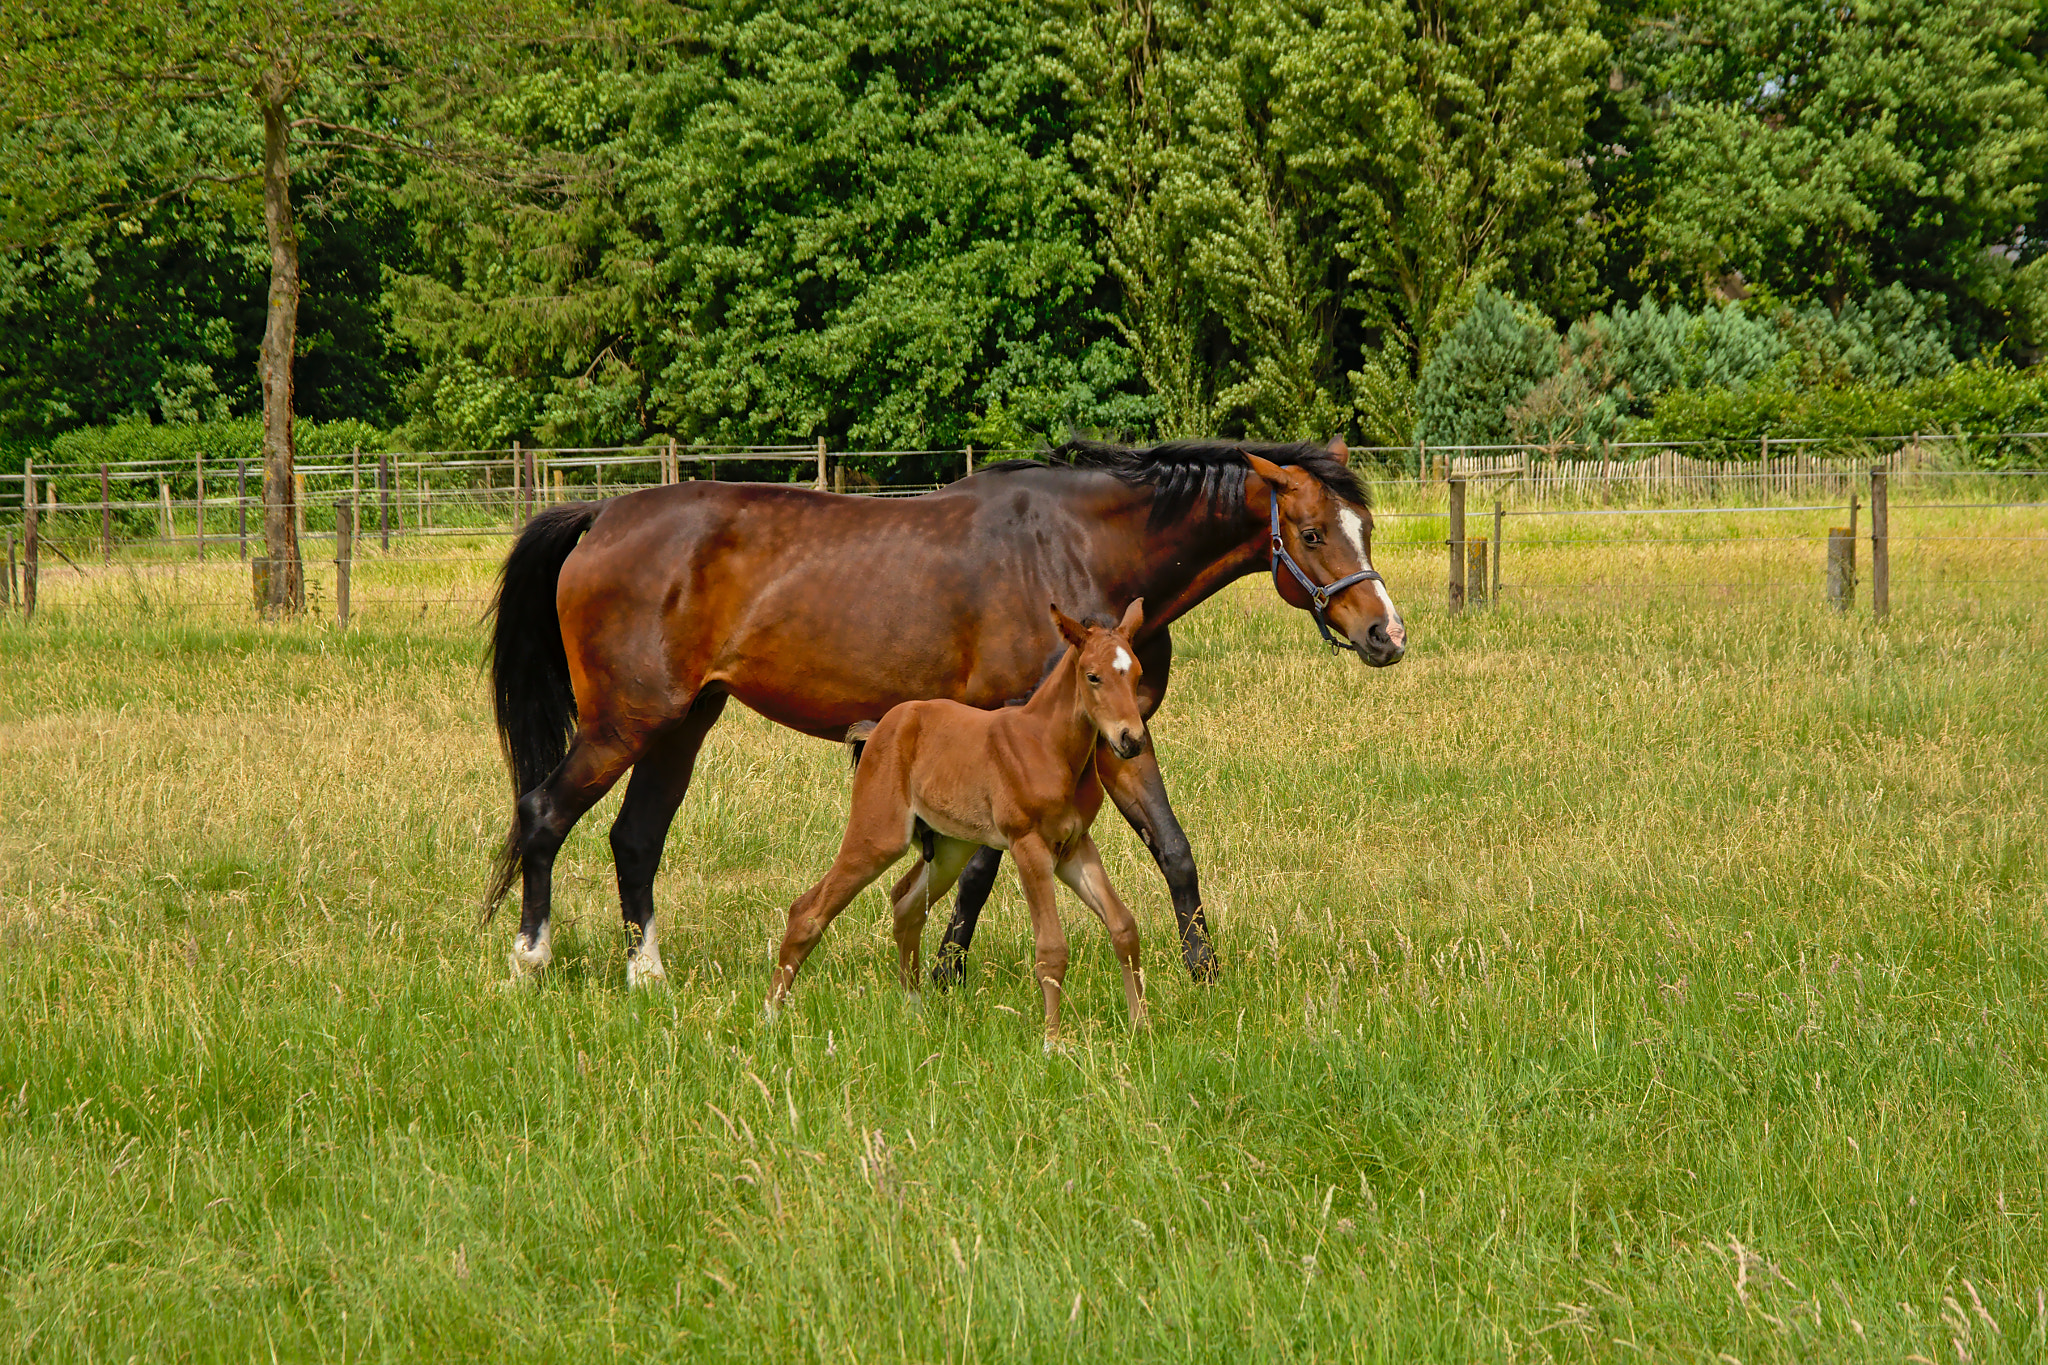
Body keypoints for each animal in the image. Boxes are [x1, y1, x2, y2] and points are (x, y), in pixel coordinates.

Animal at [485, 437, 1404, 988]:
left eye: (1364, 525)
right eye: (1314, 533)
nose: (1386, 633)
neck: (1080, 551)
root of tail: (601, 515)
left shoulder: (1120, 739)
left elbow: (1173, 850)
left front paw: (1203, 975)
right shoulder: (1012, 736)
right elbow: (982, 867)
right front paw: (945, 971)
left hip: (681, 724)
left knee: (634, 837)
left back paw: (647, 975)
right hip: (624, 724)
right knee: (544, 812)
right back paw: (530, 960)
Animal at [767, 600, 1153, 1042]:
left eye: (1137, 673)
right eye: (1093, 676)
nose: (1131, 740)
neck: (1049, 746)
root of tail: (881, 727)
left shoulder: (1073, 845)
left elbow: (1123, 926)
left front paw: (1141, 1029)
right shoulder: (1028, 844)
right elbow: (1051, 948)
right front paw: (1052, 1042)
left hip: (951, 848)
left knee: (905, 905)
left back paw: (915, 1013)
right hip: (878, 835)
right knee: (808, 910)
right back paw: (771, 1016)